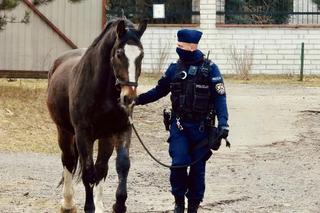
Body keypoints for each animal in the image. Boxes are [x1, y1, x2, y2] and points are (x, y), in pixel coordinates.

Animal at [46, 18, 148, 213]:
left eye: (141, 55)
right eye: (119, 54)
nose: (129, 98)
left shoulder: (122, 129)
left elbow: (122, 165)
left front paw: (119, 204)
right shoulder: (83, 134)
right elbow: (88, 171)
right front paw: (89, 207)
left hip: (105, 137)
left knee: (102, 167)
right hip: (64, 131)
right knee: (68, 160)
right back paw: (68, 203)